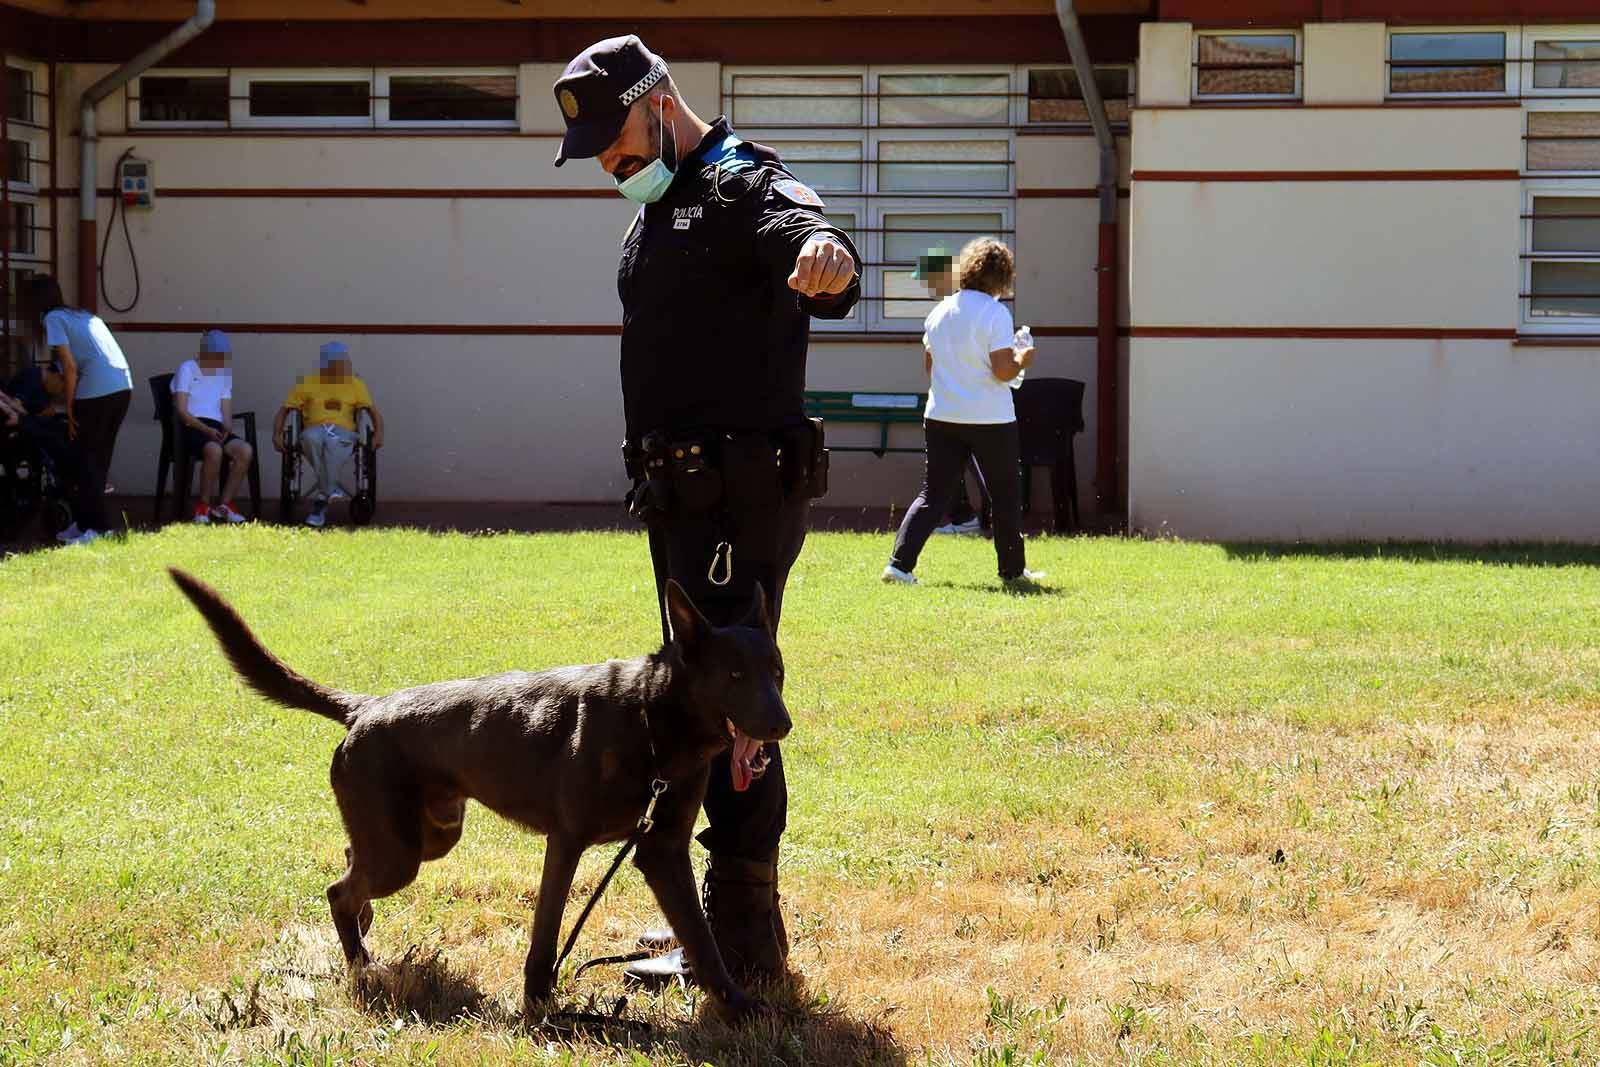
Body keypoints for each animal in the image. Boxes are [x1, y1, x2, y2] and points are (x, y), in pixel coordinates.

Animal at [172, 566, 790, 1017]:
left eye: (777, 672)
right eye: (735, 676)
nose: (782, 725)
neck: (652, 718)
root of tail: (365, 708)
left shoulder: (662, 852)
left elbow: (703, 941)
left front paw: (738, 1006)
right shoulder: (567, 843)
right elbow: (546, 933)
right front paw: (539, 1004)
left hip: (426, 836)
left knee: (352, 860)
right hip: (401, 853)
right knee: (338, 890)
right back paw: (361, 964)